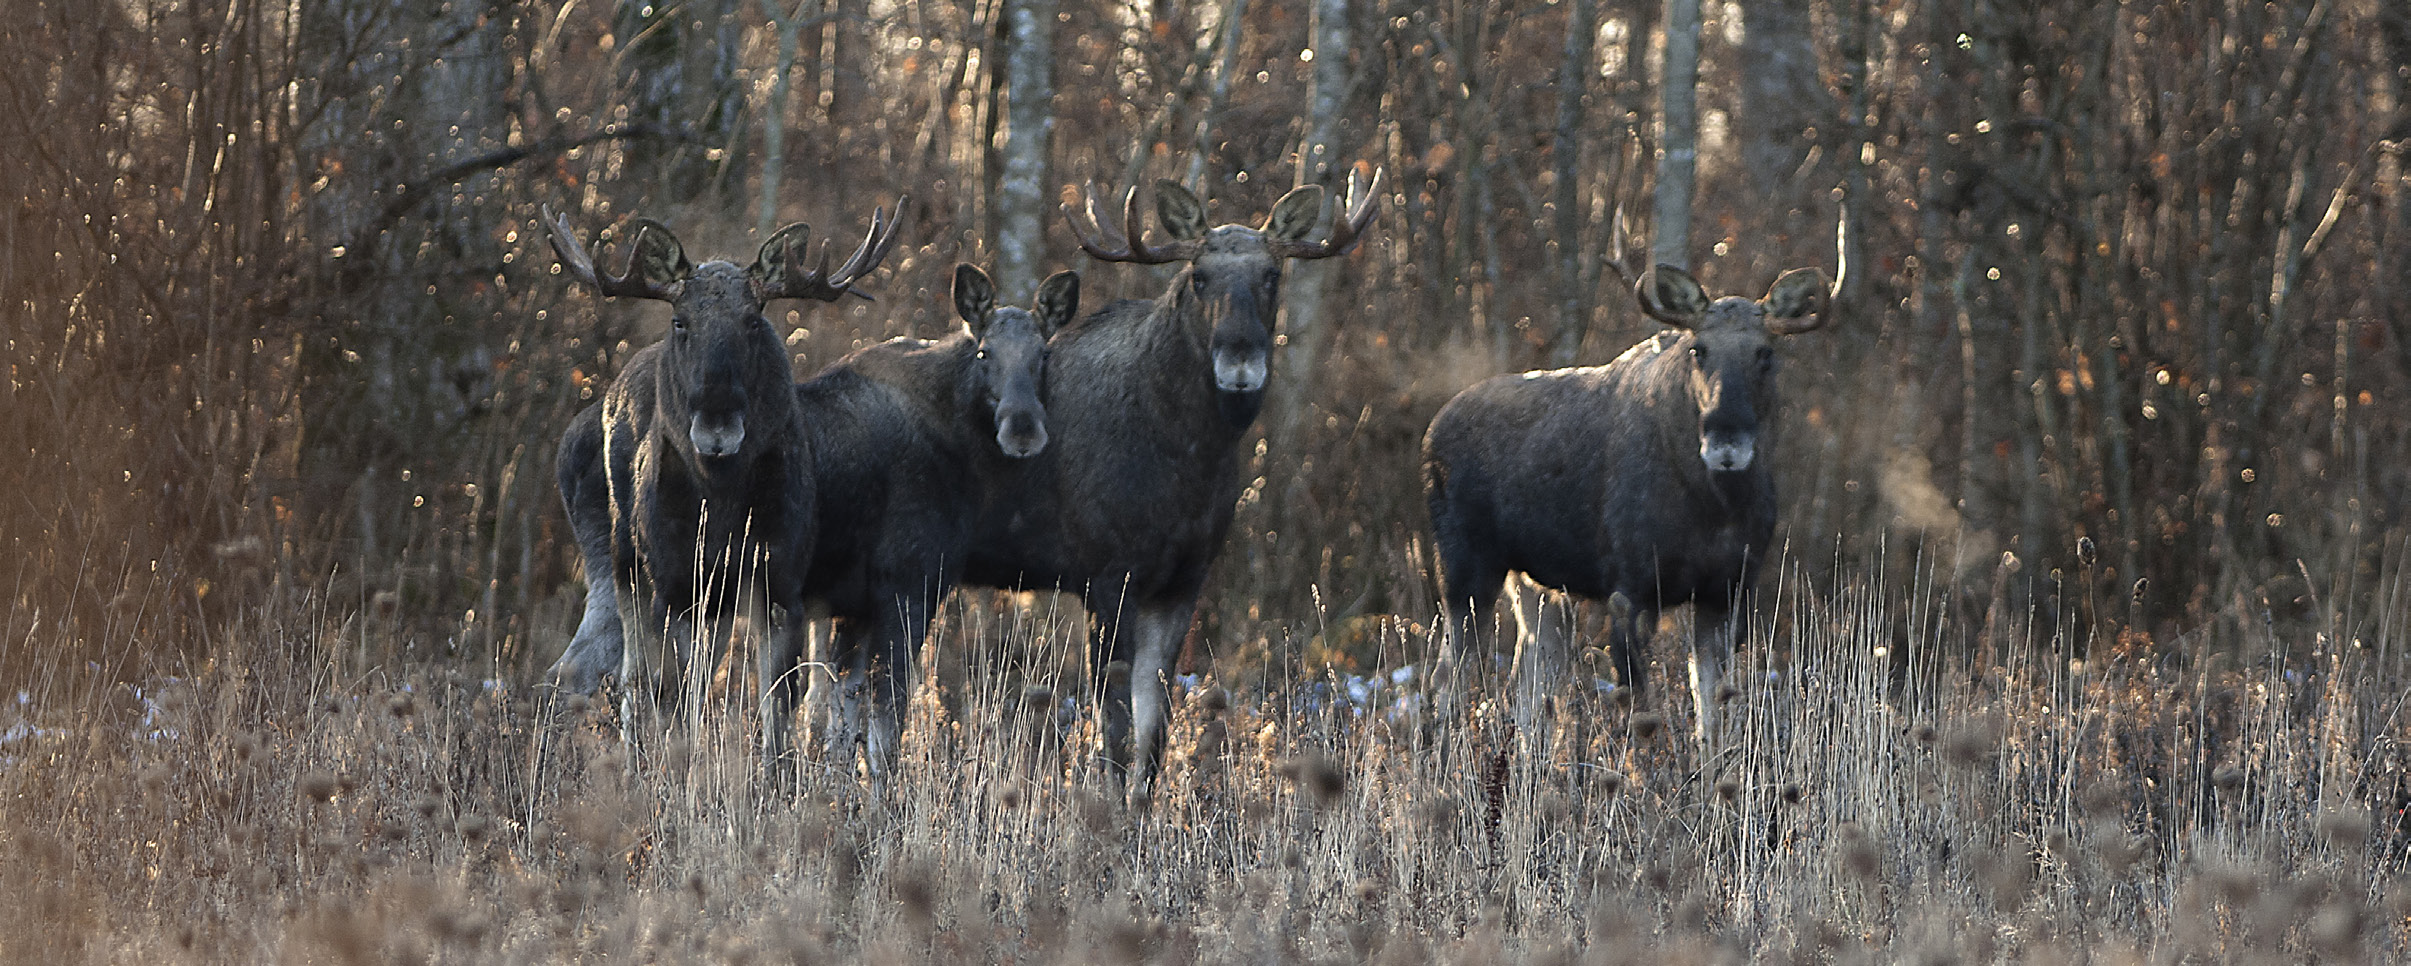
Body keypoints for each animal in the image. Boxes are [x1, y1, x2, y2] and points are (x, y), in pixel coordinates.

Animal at [547, 203, 906, 766]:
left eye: (753, 320)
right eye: (680, 320)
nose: (716, 426)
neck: (721, 512)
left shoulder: (779, 581)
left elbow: (775, 703)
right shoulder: (673, 583)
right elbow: (670, 694)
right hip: (624, 561)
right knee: (625, 678)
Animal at [776, 261, 1080, 775]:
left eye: (1043, 354)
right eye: (984, 353)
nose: (1022, 428)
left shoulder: (853, 606)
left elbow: (840, 727)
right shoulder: (908, 586)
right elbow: (884, 731)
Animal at [954, 167, 1379, 804]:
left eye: (1272, 274)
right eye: (1199, 276)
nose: (1239, 361)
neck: (1187, 463)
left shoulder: (1182, 581)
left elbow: (1154, 730)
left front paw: (1139, 819)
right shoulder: (1106, 575)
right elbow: (1114, 727)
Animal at [1417, 263, 1832, 737]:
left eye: (1765, 353)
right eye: (1698, 349)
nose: (1726, 440)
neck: (1714, 506)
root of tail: (1431, 433)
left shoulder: (1726, 590)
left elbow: (1712, 710)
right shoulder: (1628, 587)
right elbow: (1640, 713)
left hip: (1535, 586)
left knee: (1528, 689)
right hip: (1465, 571)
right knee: (1446, 679)